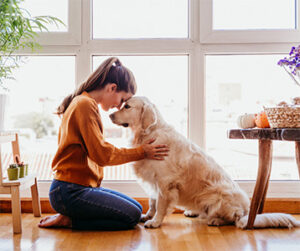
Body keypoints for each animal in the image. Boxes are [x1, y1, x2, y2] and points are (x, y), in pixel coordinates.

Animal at [109, 96, 300, 229]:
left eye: (127, 106)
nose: (110, 114)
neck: (148, 133)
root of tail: (247, 212)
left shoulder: (164, 182)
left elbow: (161, 204)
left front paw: (155, 222)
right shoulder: (153, 180)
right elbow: (152, 202)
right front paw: (148, 216)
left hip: (219, 197)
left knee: (234, 219)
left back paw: (216, 220)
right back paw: (192, 211)